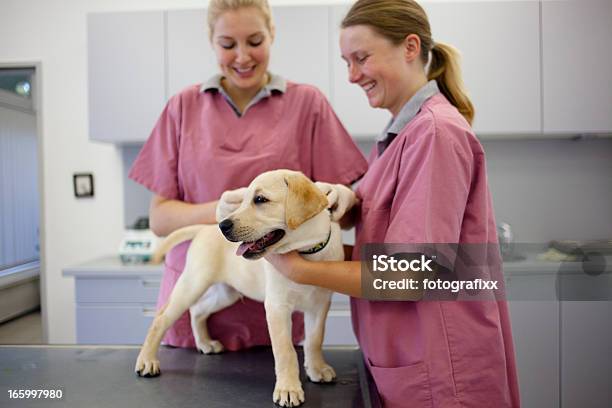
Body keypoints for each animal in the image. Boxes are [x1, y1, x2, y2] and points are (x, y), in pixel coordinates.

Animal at [134, 170, 354, 408]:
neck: (307, 251)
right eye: (243, 200)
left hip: (226, 293)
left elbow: (314, 340)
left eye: (260, 199)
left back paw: (205, 343)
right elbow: (285, 351)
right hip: (193, 282)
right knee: (162, 318)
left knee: (198, 310)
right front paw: (288, 389)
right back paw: (147, 361)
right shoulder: (277, 307)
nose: (223, 226)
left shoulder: (319, 306)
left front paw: (317, 369)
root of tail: (204, 229)